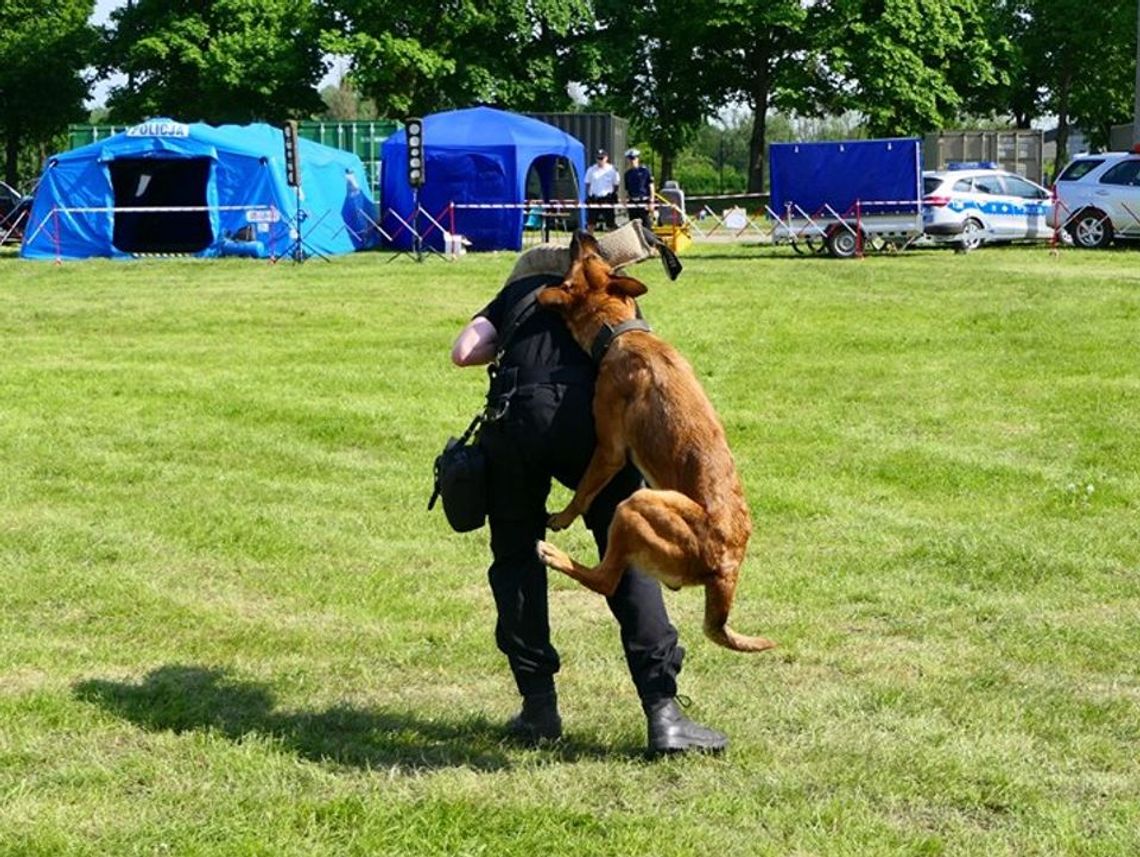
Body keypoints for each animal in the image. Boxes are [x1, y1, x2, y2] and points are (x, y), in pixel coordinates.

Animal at [533, 231, 775, 651]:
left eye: (583, 259)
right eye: (596, 256)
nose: (582, 232)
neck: (621, 332)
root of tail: (724, 567)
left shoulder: (610, 450)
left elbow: (582, 491)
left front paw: (562, 517)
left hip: (636, 506)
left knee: (604, 580)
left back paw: (553, 554)